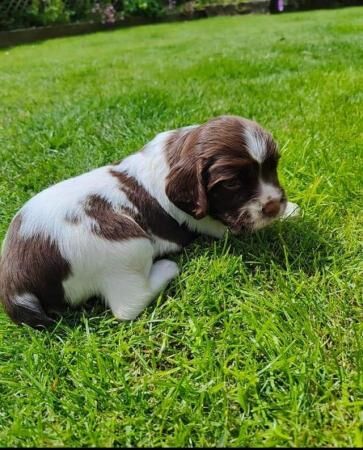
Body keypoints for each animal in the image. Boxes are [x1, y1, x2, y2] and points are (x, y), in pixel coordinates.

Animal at [0, 116, 298, 326]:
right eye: (233, 183)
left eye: (273, 167)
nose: (273, 205)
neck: (176, 153)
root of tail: (16, 284)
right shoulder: (213, 222)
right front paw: (292, 211)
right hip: (124, 245)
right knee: (128, 304)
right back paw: (166, 267)